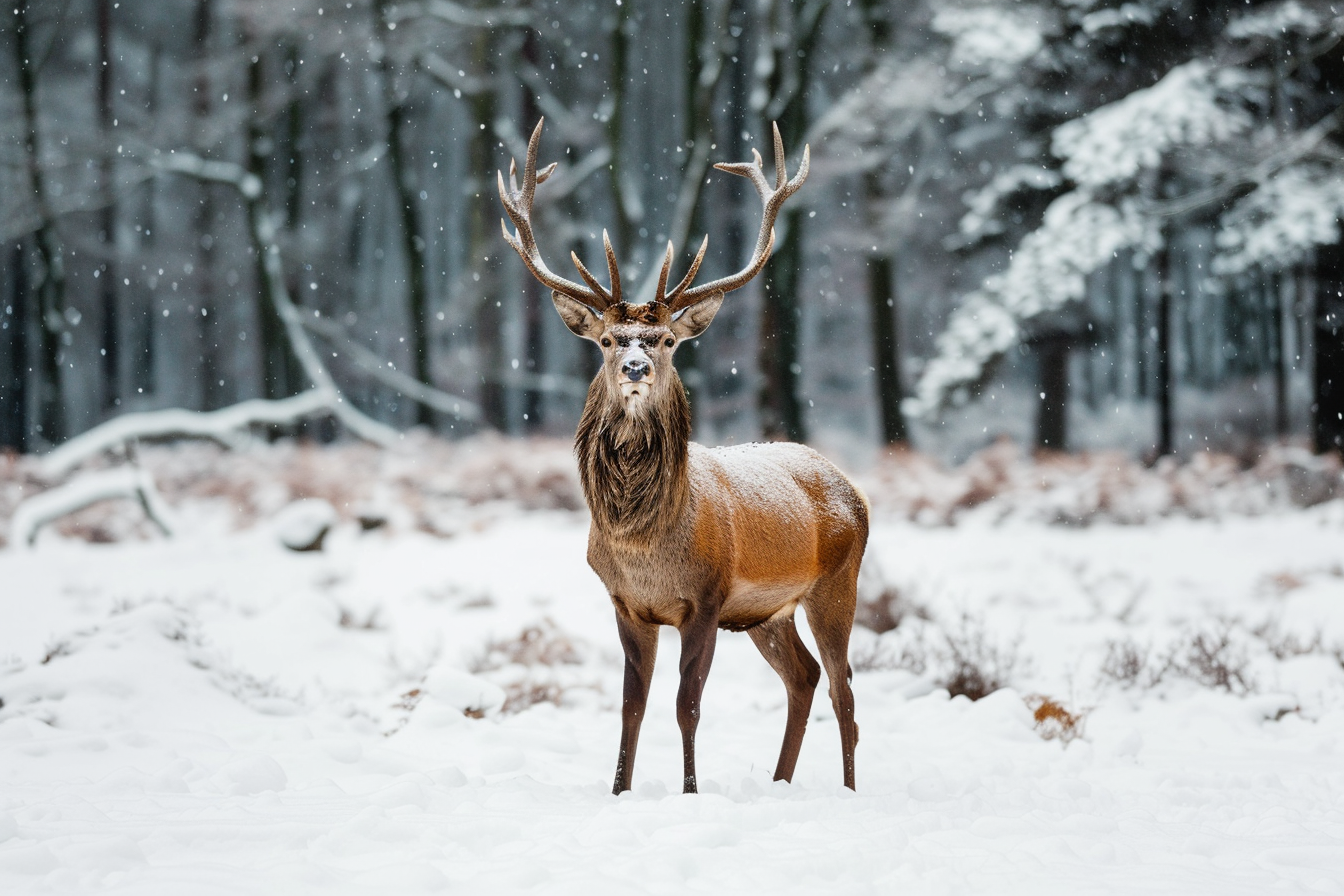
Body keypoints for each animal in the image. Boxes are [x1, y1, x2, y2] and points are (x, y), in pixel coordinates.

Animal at [497, 119, 869, 795]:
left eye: (667, 339)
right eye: (608, 340)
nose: (636, 367)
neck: (645, 546)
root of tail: (854, 490)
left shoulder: (707, 598)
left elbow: (686, 704)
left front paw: (691, 792)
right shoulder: (626, 604)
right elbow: (631, 704)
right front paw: (619, 790)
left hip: (837, 582)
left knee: (844, 688)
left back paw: (850, 791)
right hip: (766, 612)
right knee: (803, 677)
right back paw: (778, 783)